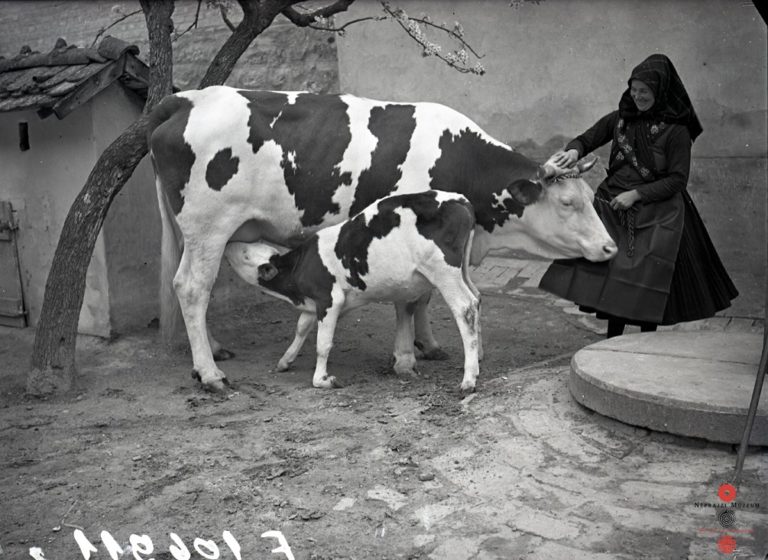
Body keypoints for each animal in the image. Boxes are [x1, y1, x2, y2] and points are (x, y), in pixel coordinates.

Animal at [225, 190, 484, 392]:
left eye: (246, 254)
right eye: (249, 246)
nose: (230, 243)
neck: (302, 265)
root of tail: (459, 199)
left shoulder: (329, 299)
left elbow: (323, 344)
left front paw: (322, 379)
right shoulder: (320, 301)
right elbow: (302, 327)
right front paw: (285, 360)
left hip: (443, 271)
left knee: (465, 307)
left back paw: (469, 379)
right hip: (461, 271)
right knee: (477, 298)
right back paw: (478, 359)